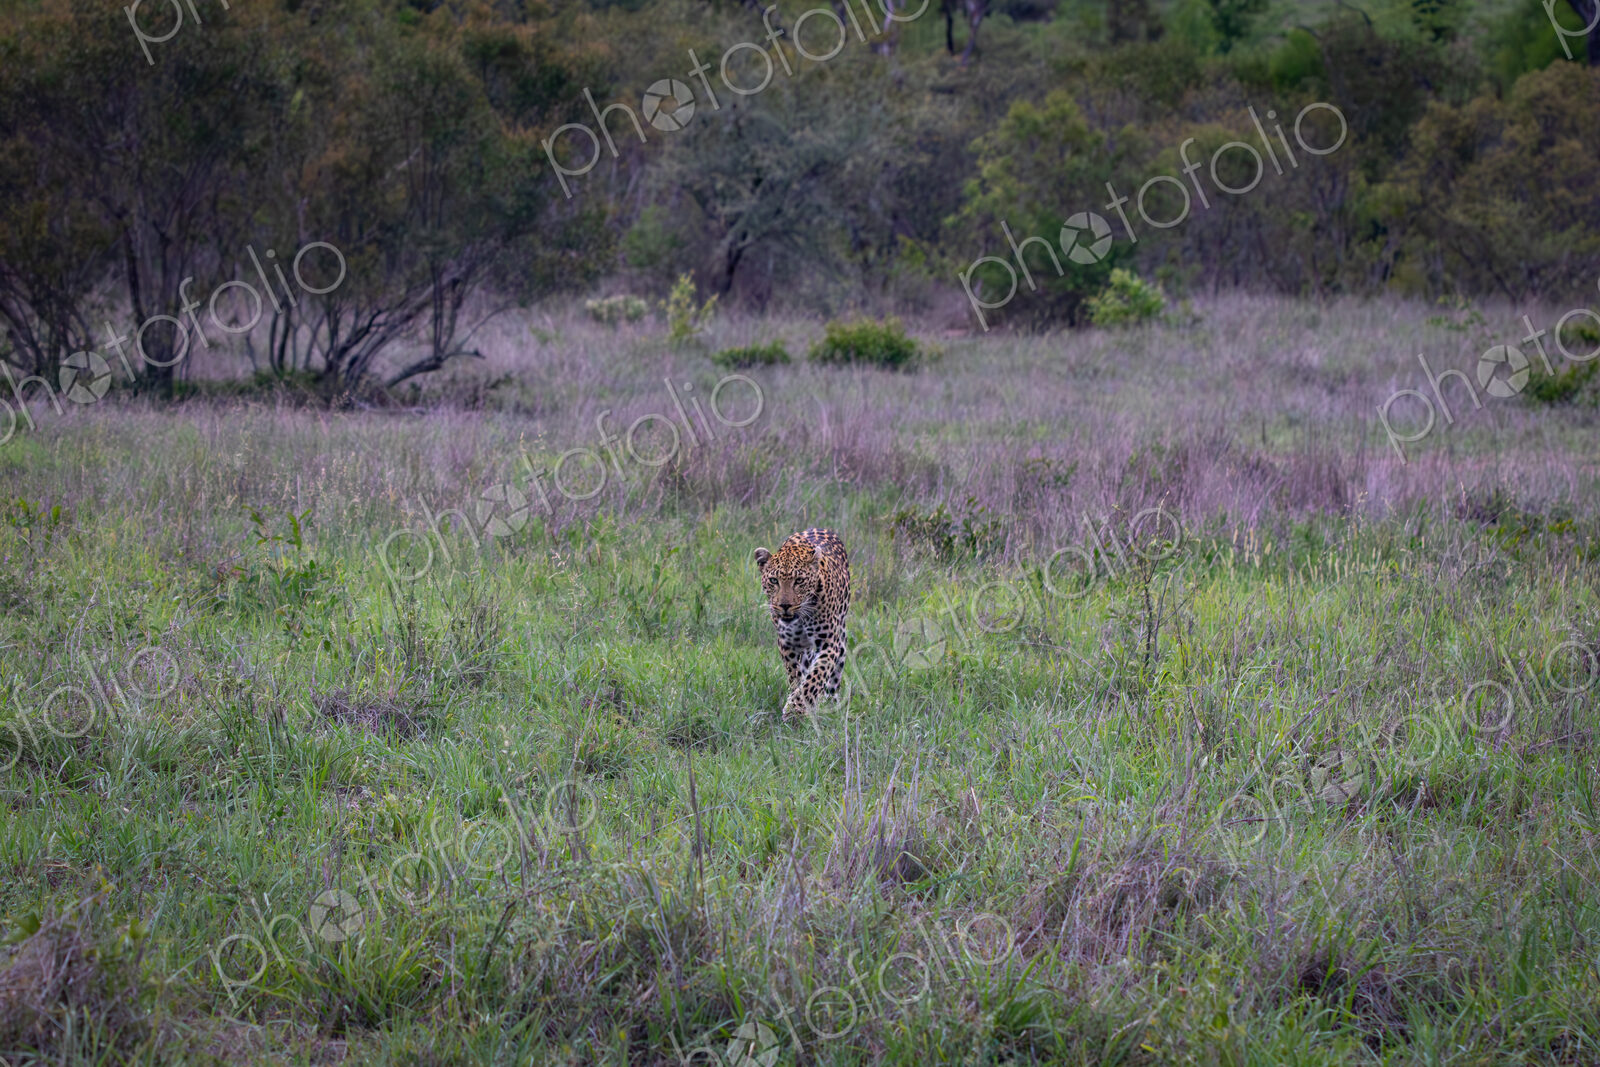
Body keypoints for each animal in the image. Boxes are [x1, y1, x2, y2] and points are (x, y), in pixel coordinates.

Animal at [752, 527, 851, 722]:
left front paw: (796, 708)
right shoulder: (787, 644)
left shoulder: (829, 643)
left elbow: (815, 676)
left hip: (841, 642)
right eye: (774, 581)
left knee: (833, 680)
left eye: (799, 581)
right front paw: (797, 702)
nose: (785, 605)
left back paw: (831, 704)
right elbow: (795, 676)